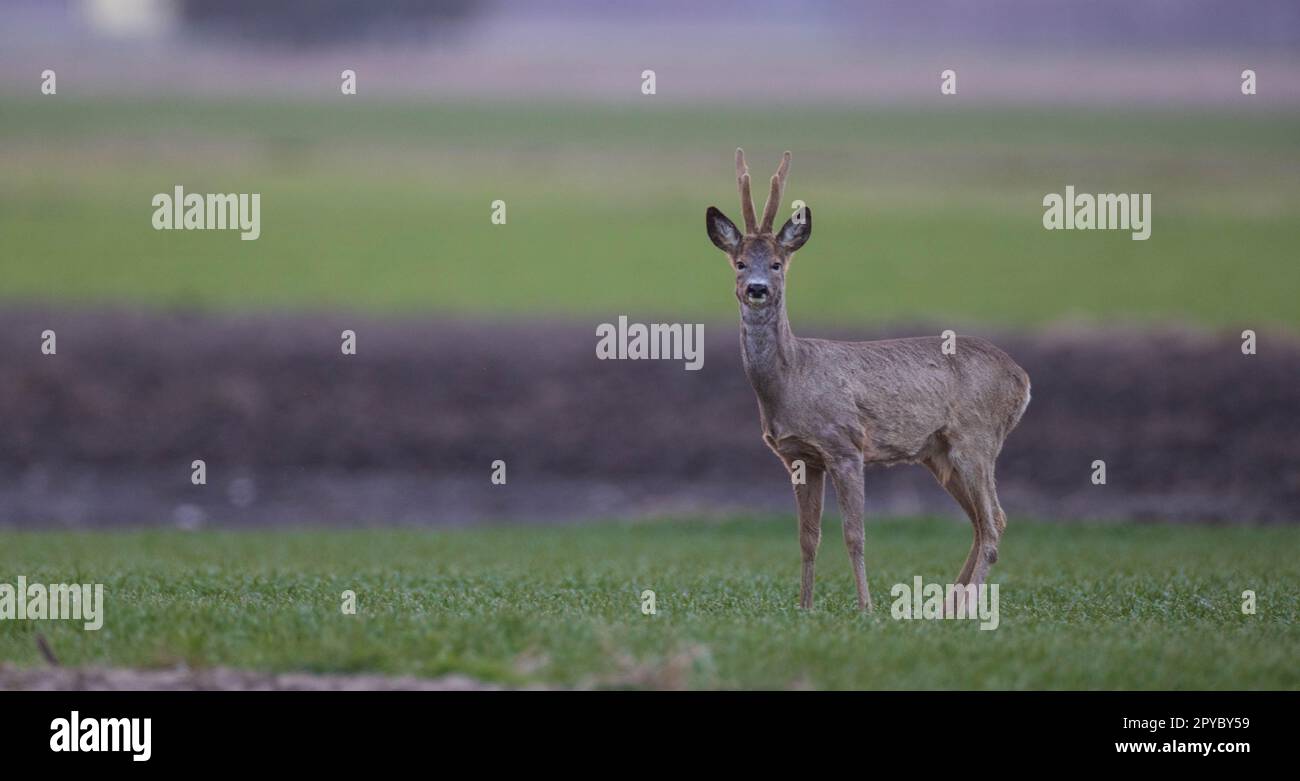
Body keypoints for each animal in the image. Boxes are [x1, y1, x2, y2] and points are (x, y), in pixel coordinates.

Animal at [705, 149, 1031, 612]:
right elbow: (808, 538)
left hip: (977, 437)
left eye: (777, 263)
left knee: (994, 520)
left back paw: (965, 607)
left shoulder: (846, 445)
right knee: (979, 522)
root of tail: (1022, 378)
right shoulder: (800, 457)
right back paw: (946, 606)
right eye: (739, 262)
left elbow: (854, 535)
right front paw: (805, 607)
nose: (757, 289)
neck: (792, 378)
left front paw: (866, 608)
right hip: (939, 453)